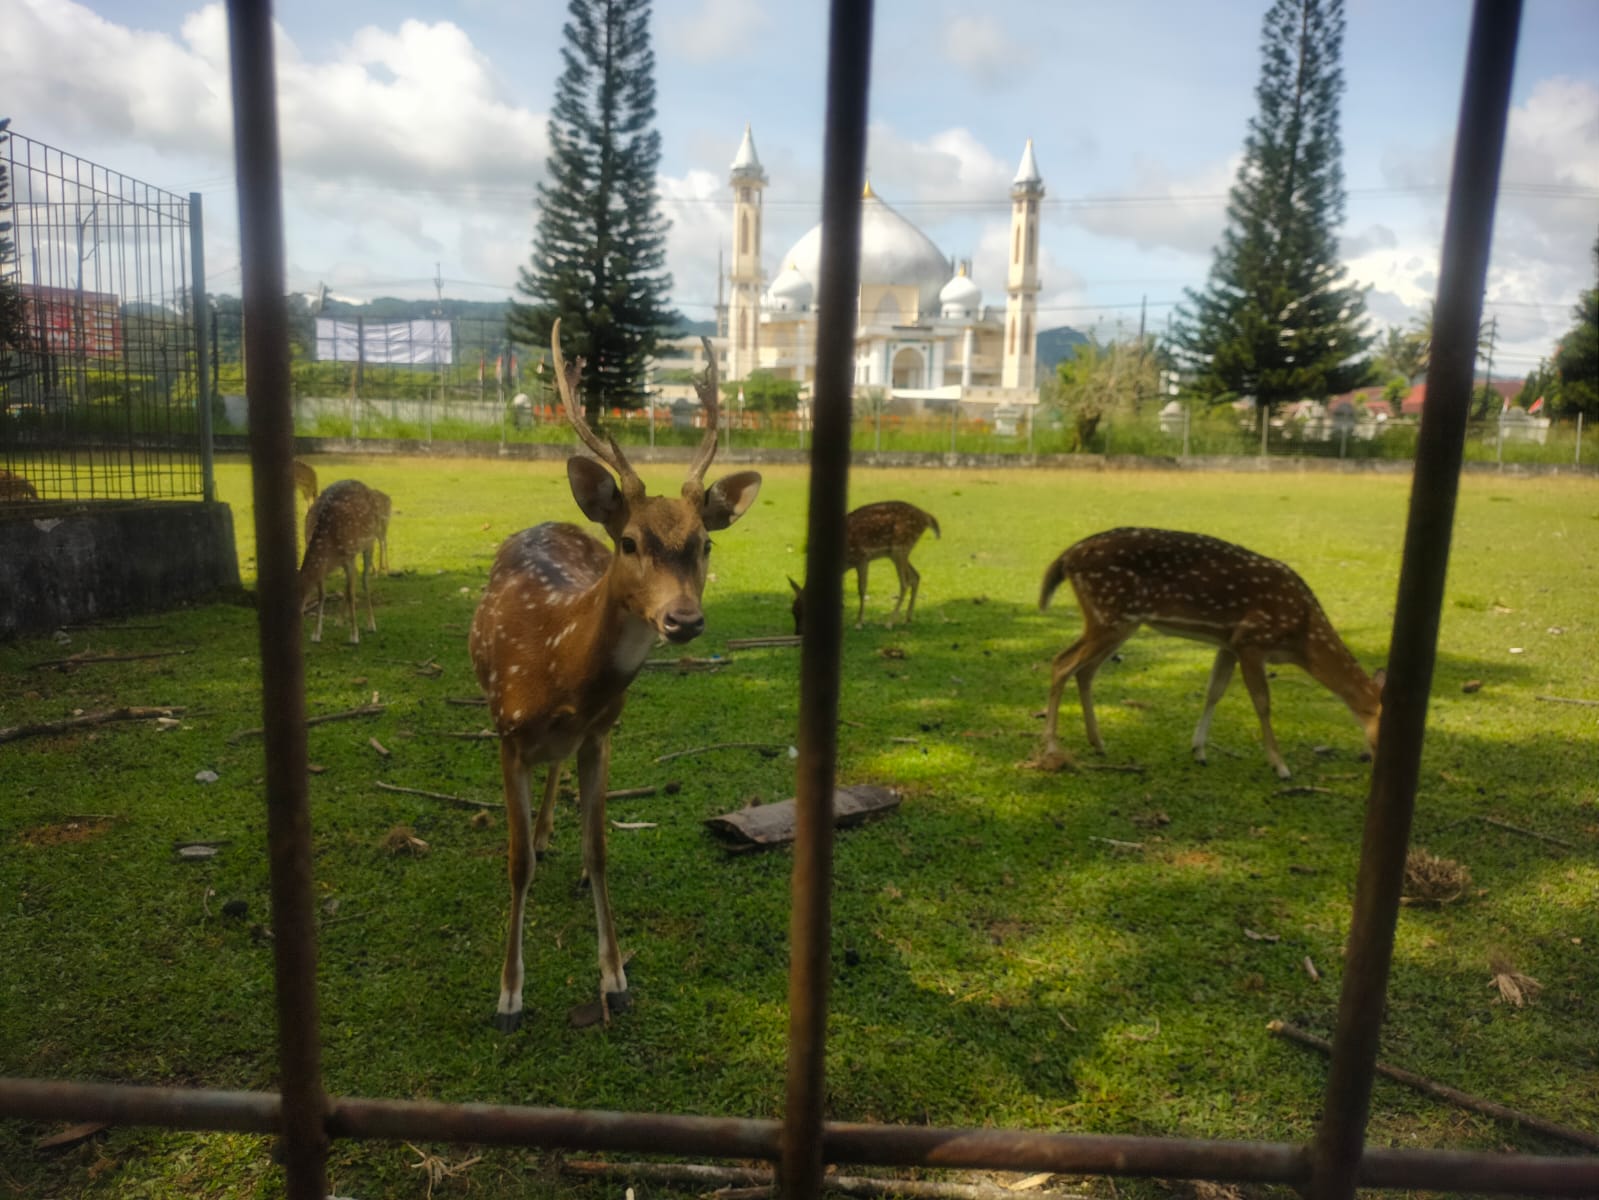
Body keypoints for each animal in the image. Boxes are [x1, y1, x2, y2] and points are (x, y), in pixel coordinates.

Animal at [299, 483, 388, 649]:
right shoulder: (325, 565)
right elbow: (322, 593)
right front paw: (316, 634)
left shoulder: (349, 556)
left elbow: (352, 594)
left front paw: (354, 636)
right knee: (350, 582)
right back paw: (339, 621)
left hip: (369, 542)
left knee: (364, 580)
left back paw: (371, 624)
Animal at [466, 321, 761, 1036]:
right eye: (630, 543)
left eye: (705, 545)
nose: (683, 618)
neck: (558, 673)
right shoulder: (506, 734)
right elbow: (515, 863)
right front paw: (509, 996)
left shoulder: (600, 734)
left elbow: (600, 850)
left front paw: (615, 980)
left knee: (559, 777)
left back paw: (554, 838)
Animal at [793, 499, 940, 633]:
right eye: (793, 610)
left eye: (804, 610)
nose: (798, 632)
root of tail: (927, 517)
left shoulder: (862, 557)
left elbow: (862, 589)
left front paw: (859, 623)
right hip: (896, 553)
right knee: (916, 576)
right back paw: (907, 619)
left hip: (900, 547)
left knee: (905, 582)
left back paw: (890, 623)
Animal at [1042, 528, 1381, 780]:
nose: (1372, 759)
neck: (1300, 638)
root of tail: (1066, 557)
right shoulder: (1251, 641)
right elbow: (1262, 702)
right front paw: (1281, 766)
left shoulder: (1228, 643)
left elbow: (1214, 691)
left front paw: (1199, 751)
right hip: (1111, 615)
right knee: (1061, 663)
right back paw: (1051, 748)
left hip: (1118, 621)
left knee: (1085, 670)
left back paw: (1098, 743)